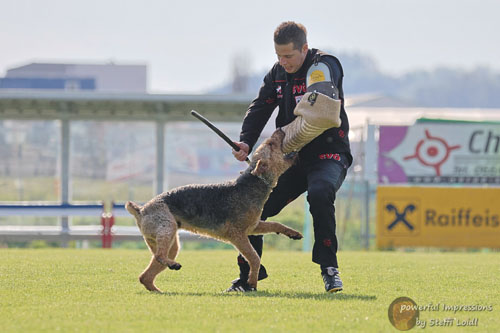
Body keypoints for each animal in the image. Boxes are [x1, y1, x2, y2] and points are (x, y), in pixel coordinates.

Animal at [127, 128, 302, 292]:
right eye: (271, 144)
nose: (280, 129)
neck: (253, 183)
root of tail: (140, 210)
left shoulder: (253, 226)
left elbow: (276, 225)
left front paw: (294, 233)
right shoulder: (237, 234)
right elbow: (254, 258)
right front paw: (252, 281)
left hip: (171, 244)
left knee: (146, 275)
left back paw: (160, 289)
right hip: (167, 229)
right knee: (159, 256)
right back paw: (173, 265)